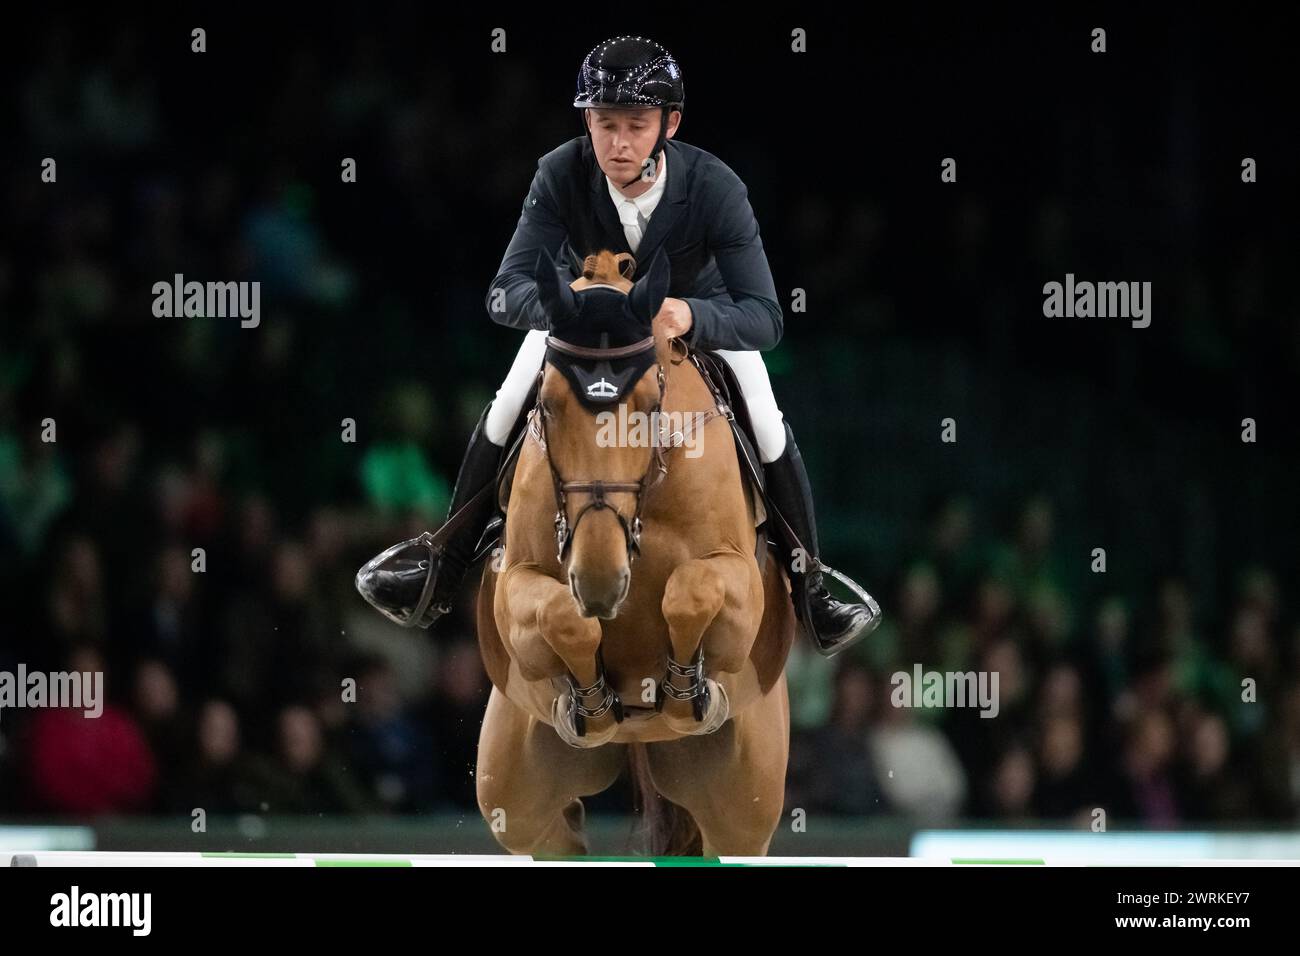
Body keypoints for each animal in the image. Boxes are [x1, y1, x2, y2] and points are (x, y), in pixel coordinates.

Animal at [473, 248, 795, 858]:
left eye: (649, 406)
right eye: (547, 405)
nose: (601, 580)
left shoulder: (740, 583)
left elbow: (691, 590)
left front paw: (684, 691)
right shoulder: (515, 585)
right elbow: (562, 614)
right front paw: (593, 703)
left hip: (744, 807)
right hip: (515, 789)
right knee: (550, 832)